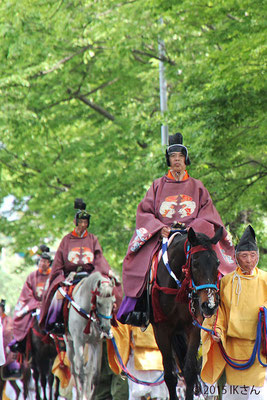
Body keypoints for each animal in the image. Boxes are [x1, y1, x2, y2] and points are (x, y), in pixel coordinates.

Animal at [66, 270, 115, 398]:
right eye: (98, 303)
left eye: (113, 302)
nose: (106, 327)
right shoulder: (78, 342)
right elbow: (81, 375)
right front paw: (83, 396)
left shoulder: (97, 342)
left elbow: (95, 376)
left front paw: (90, 395)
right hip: (69, 343)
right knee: (74, 370)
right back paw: (80, 394)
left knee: (88, 371)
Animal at [152, 227, 223, 398]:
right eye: (195, 263)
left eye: (217, 263)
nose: (210, 305)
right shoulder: (161, 330)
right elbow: (170, 376)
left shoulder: (193, 327)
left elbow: (190, 372)